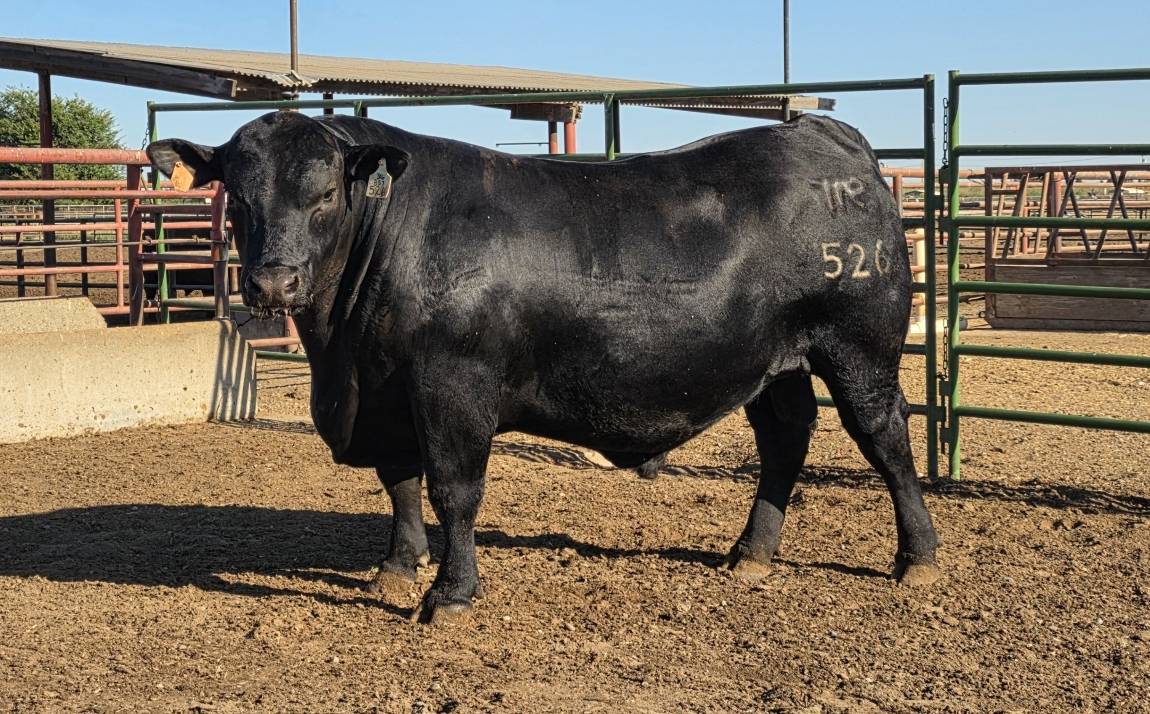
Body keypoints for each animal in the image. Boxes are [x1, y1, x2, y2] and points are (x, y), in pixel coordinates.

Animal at [147, 111, 941, 624]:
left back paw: (918, 556)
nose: (273, 283)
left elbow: (454, 492)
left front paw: (450, 594)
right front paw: (396, 571)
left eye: (322, 197)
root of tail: (822, 135)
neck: (340, 355)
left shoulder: (452, 387)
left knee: (886, 438)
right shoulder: (385, 393)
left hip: (858, 349)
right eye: (238, 195)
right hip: (775, 367)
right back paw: (751, 552)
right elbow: (399, 484)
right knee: (785, 441)